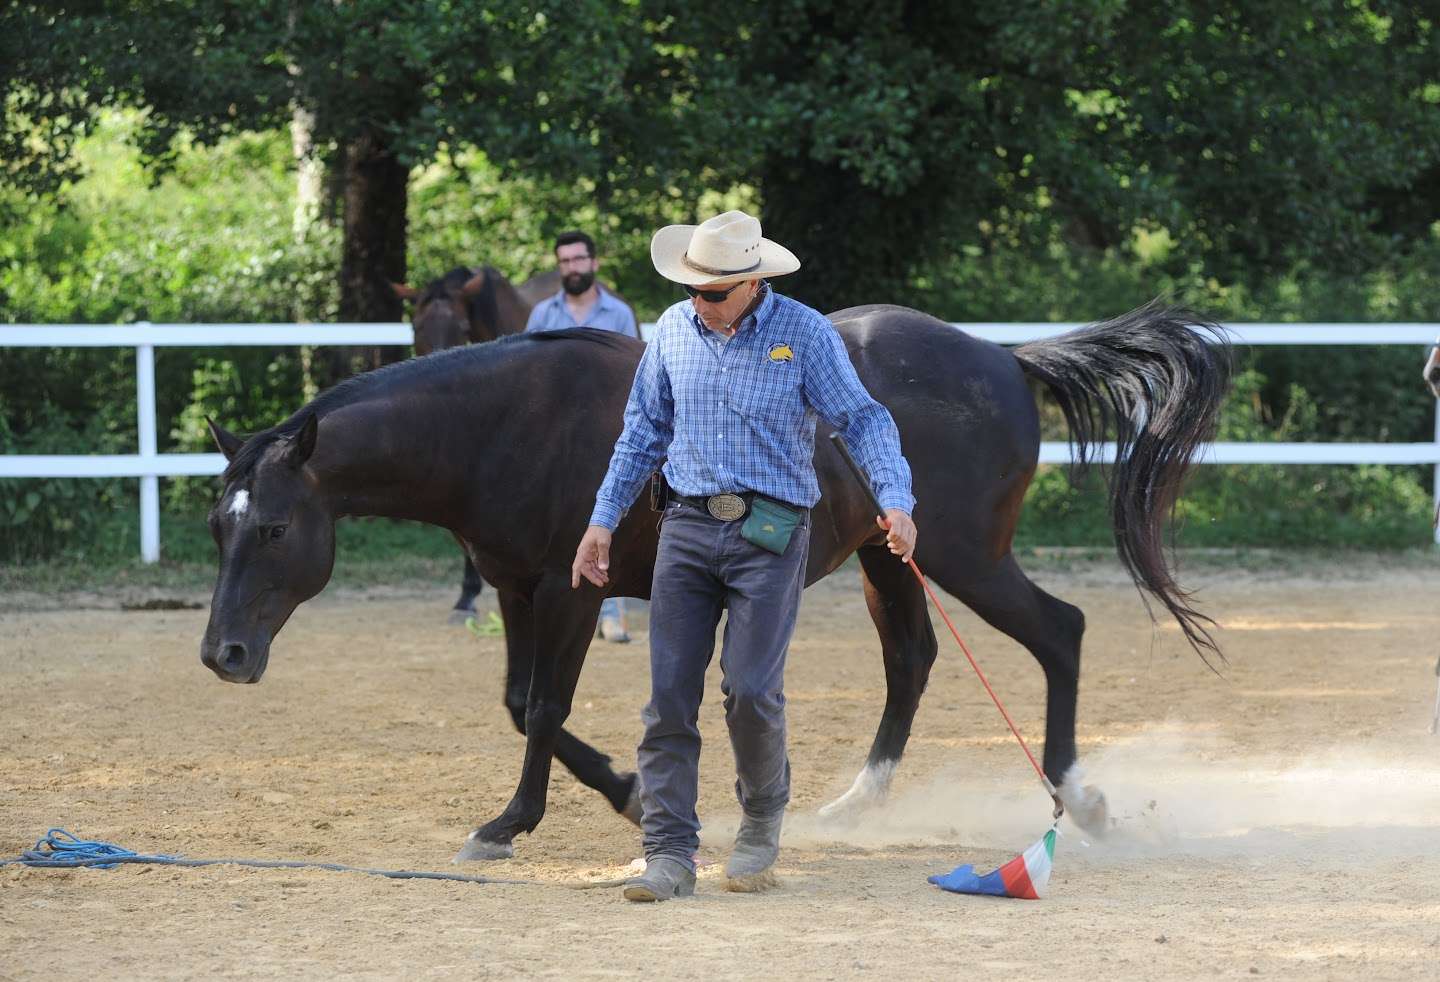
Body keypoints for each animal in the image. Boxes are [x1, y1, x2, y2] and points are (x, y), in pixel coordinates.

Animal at [199, 301, 1230, 861]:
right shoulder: (517, 590)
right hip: (888, 558)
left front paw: (510, 822)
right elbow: (522, 704)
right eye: (219, 524)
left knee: (1059, 632)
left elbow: (542, 707)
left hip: (960, 555)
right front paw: (625, 793)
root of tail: (1004, 359)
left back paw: (1080, 801)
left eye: (277, 527)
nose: (223, 654)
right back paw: (856, 804)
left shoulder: (572, 591)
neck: (502, 422)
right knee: (912, 659)